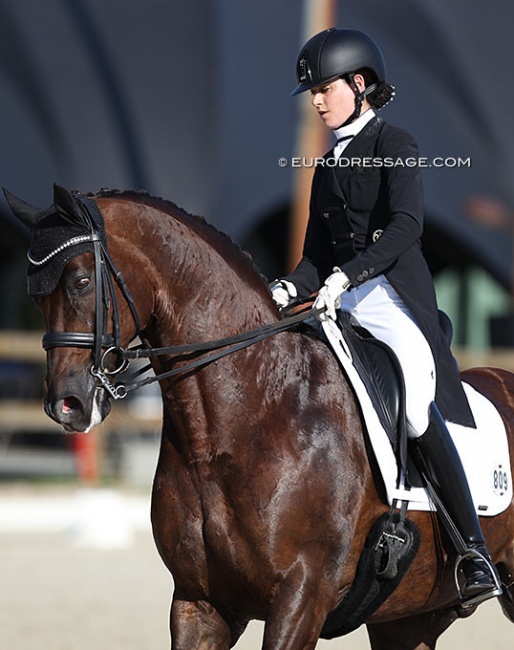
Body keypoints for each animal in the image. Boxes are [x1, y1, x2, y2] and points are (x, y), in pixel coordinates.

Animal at [7, 184, 512, 648]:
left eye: (80, 281)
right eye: (34, 297)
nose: (66, 405)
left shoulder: (301, 598)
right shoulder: (198, 603)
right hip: (409, 618)